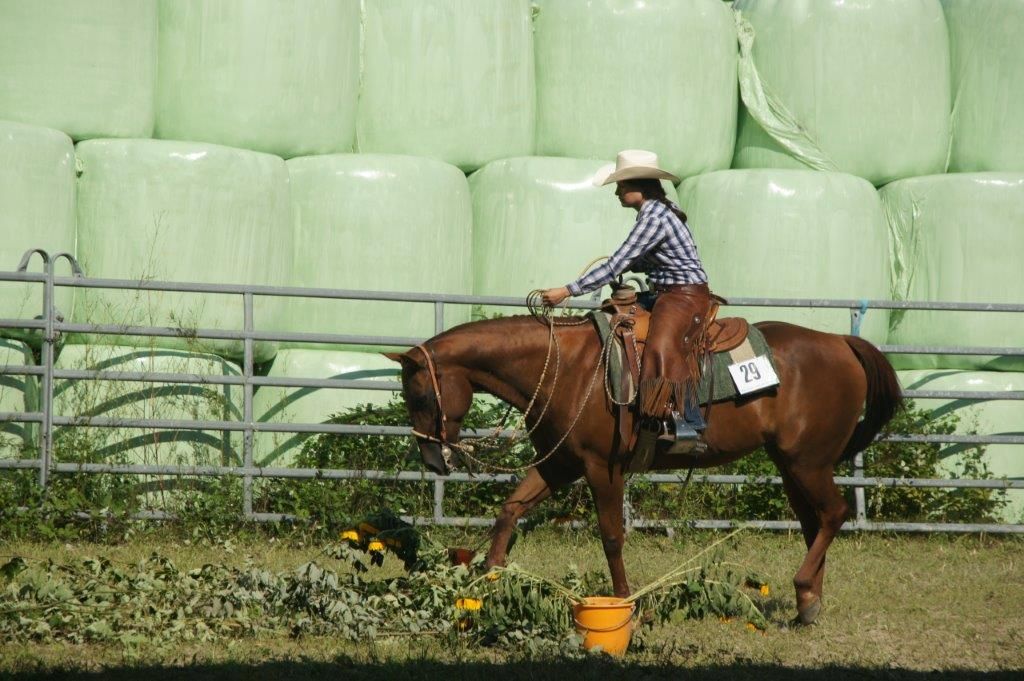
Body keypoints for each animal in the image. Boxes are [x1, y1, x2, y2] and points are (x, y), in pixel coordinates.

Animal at [385, 312, 902, 625]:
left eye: (420, 395)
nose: (432, 459)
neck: (565, 369)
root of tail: (841, 342)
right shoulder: (561, 464)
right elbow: (510, 509)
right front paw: (491, 579)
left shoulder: (602, 467)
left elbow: (612, 536)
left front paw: (623, 600)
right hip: (790, 465)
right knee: (815, 522)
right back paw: (808, 604)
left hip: (807, 461)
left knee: (833, 514)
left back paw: (804, 590)